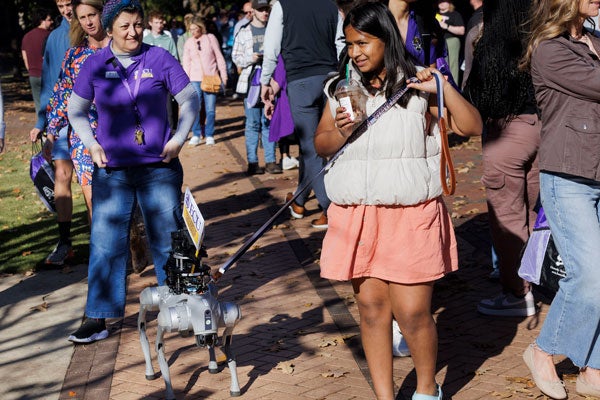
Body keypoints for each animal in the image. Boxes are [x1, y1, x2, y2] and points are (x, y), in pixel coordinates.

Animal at [138, 230, 241, 398]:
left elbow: (228, 347)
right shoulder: (165, 320)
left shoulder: (232, 315)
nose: (205, 338)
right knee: (142, 323)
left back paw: (212, 365)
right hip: (148, 299)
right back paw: (150, 373)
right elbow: (158, 349)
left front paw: (235, 389)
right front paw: (170, 394)